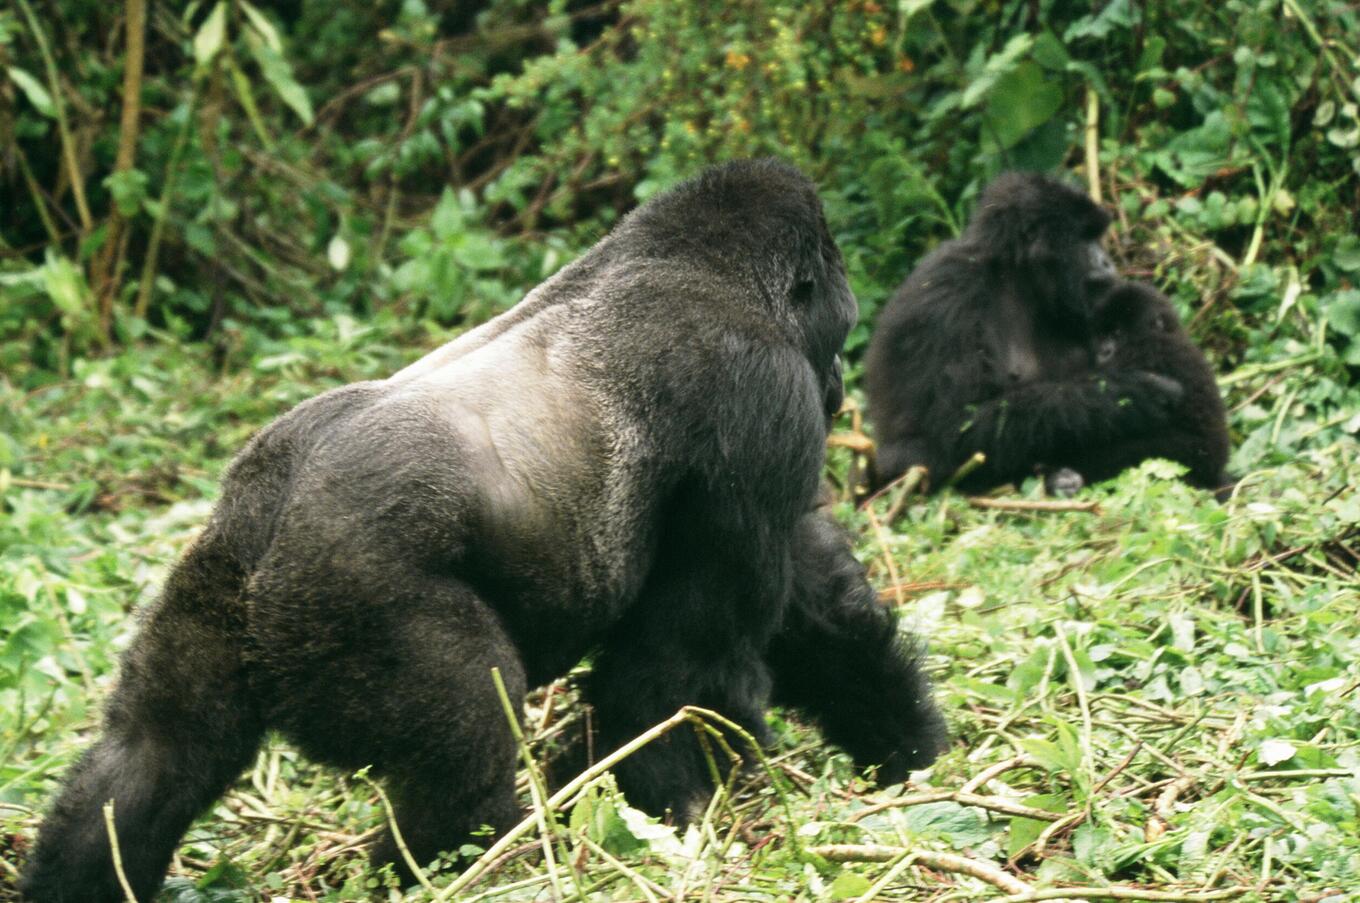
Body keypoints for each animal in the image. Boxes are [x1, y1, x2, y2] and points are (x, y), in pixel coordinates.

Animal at [864, 169, 1185, 495]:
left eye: (1096, 237)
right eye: (1085, 238)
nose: (1107, 261)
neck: (1016, 277)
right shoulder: (947, 292)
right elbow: (954, 426)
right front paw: (1131, 394)